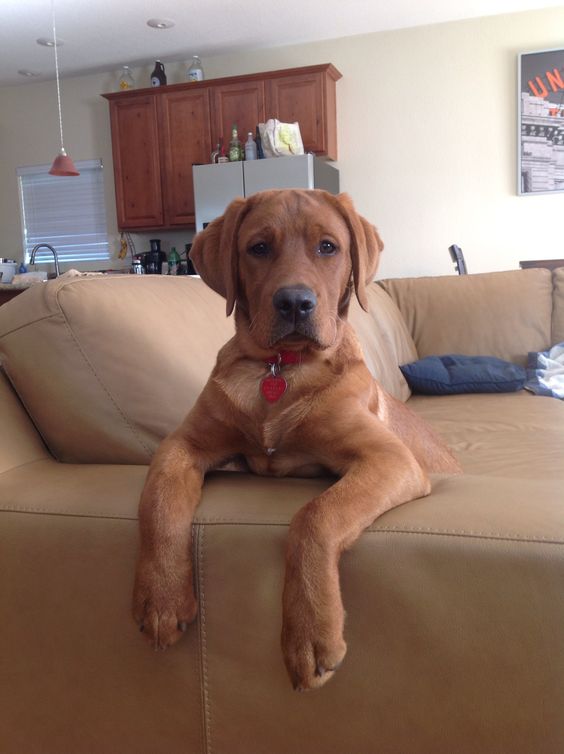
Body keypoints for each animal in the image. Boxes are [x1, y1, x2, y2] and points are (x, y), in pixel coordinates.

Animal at [133, 187, 462, 688]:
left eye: (328, 247)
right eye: (258, 248)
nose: (294, 303)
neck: (280, 370)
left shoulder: (390, 458)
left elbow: (315, 516)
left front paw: (310, 634)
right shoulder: (182, 444)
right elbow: (160, 501)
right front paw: (162, 597)